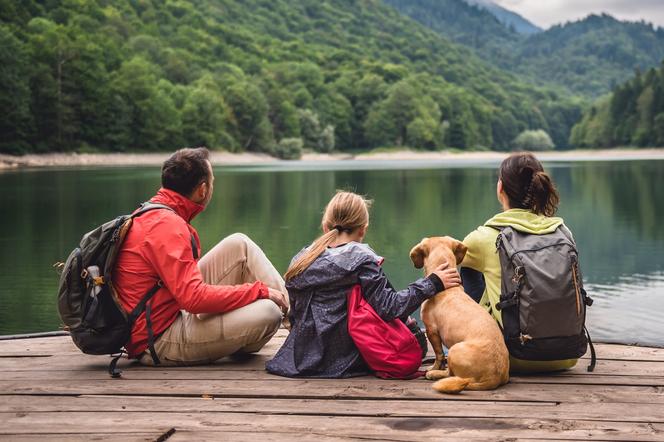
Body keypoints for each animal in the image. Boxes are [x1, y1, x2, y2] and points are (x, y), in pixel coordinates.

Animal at [408, 238, 510, 394]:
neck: (448, 288)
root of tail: (493, 378)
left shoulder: (431, 331)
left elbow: (438, 355)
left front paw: (434, 367)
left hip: (454, 350)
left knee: (450, 373)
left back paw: (433, 374)